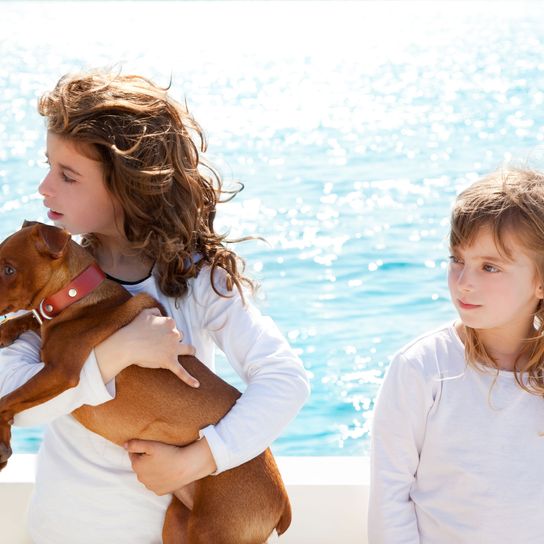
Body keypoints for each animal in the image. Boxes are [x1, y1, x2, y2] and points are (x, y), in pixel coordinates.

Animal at [0, 219, 292, 540]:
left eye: (9, 270)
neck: (76, 298)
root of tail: (284, 505)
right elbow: (31, 321)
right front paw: (7, 330)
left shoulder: (61, 371)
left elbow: (6, 401)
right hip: (177, 522)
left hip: (212, 529)